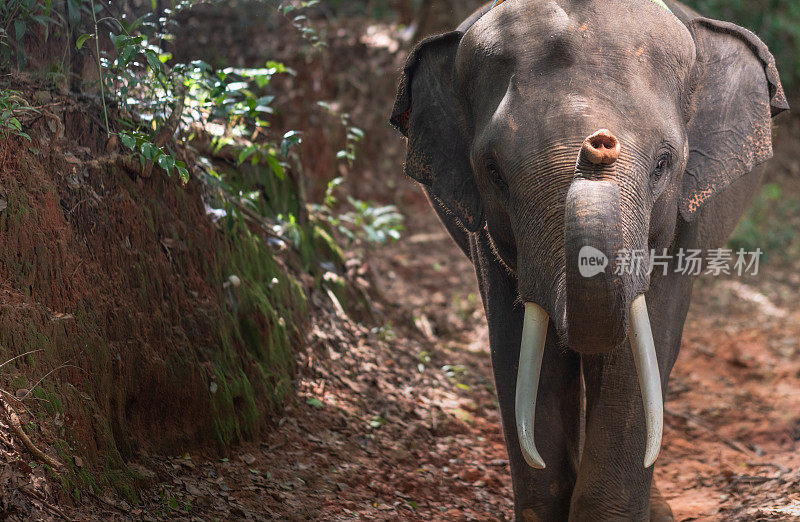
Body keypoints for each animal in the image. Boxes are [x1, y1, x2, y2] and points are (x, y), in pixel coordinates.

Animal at [388, 0, 788, 516]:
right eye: (494, 172)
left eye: (664, 164)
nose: (599, 144)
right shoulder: (488, 235)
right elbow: (515, 348)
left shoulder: (683, 222)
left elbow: (642, 351)